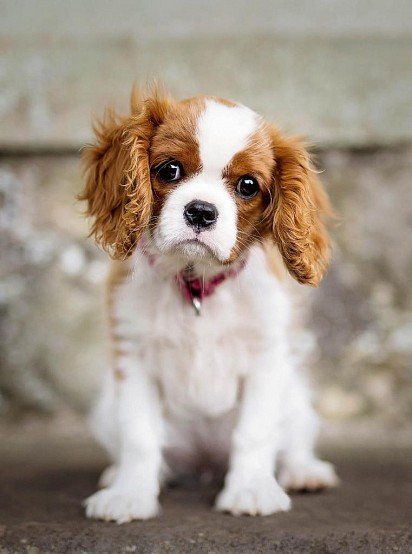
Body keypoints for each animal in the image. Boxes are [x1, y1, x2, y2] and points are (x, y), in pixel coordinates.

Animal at [79, 86, 338, 520]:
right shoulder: (134, 359)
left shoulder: (265, 359)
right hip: (104, 410)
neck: (197, 283)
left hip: (296, 400)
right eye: (169, 170)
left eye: (248, 185)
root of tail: (204, 464)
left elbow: (255, 432)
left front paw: (250, 489)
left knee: (294, 443)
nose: (201, 211)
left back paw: (304, 471)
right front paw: (129, 494)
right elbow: (139, 436)